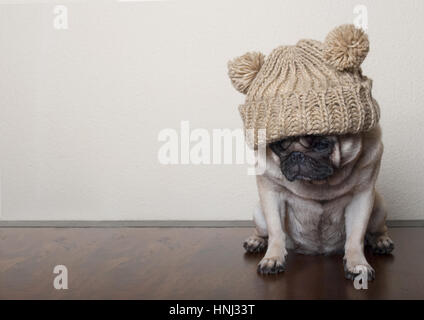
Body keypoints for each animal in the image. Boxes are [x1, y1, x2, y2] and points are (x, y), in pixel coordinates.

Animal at [242, 125, 394, 280]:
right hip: (259, 213)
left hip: (379, 208)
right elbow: (276, 232)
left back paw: (381, 241)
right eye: (279, 145)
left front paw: (357, 264)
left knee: (379, 230)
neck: (318, 183)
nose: (296, 155)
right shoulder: (272, 193)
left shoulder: (361, 195)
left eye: (321, 145)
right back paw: (256, 241)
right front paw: (273, 258)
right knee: (262, 231)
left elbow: (356, 237)